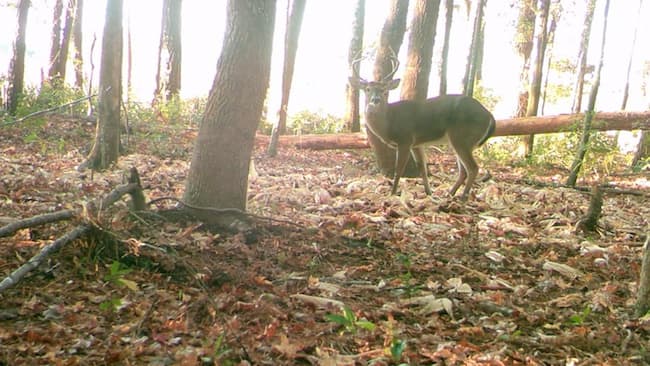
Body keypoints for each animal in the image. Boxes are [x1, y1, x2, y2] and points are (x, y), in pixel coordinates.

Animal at [352, 54, 494, 200]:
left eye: (384, 90)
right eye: (367, 89)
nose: (376, 100)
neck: (388, 122)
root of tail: (490, 116)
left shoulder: (405, 139)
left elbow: (399, 169)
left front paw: (392, 193)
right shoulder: (416, 144)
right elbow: (422, 169)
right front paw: (429, 192)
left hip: (463, 137)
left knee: (473, 168)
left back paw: (463, 197)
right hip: (460, 140)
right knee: (463, 171)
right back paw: (449, 194)